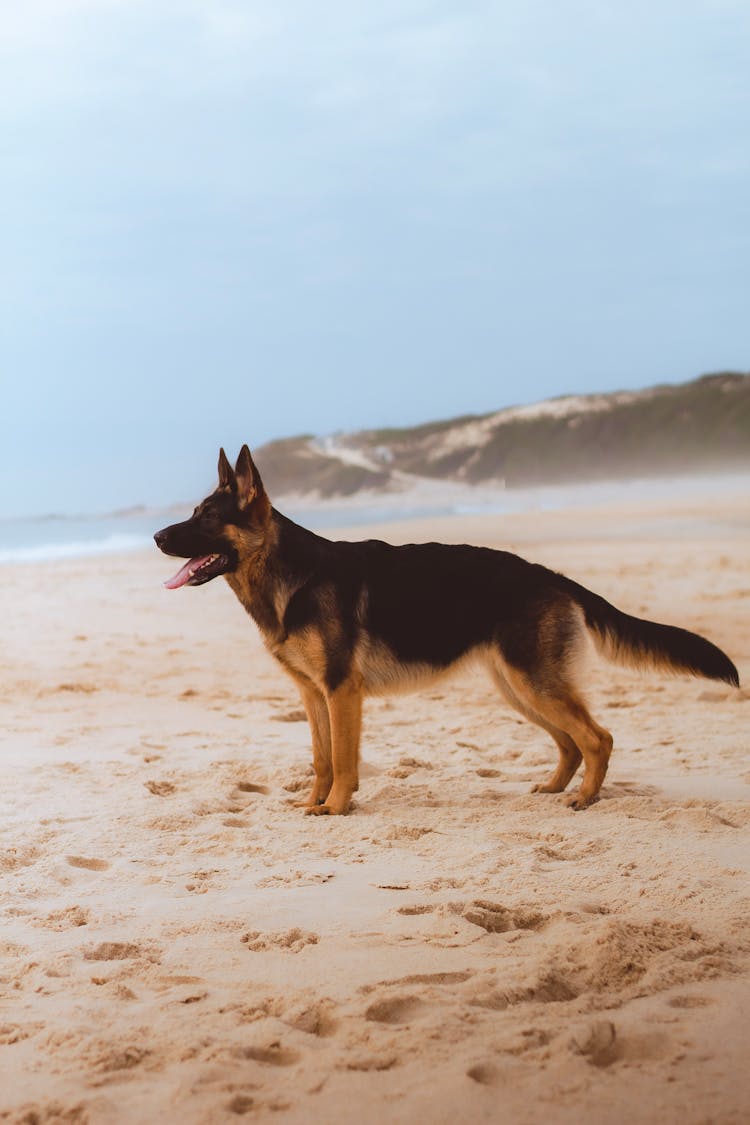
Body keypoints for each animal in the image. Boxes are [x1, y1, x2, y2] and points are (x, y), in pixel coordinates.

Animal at [154, 445, 737, 819]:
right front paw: (315, 802)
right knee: (571, 743)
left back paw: (584, 799)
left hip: (533, 685)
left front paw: (337, 808)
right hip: (519, 689)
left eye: (206, 518)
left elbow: (342, 760)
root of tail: (550, 575)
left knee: (598, 738)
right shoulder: (313, 695)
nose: (157, 537)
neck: (291, 575)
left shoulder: (342, 693)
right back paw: (555, 787)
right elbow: (320, 759)